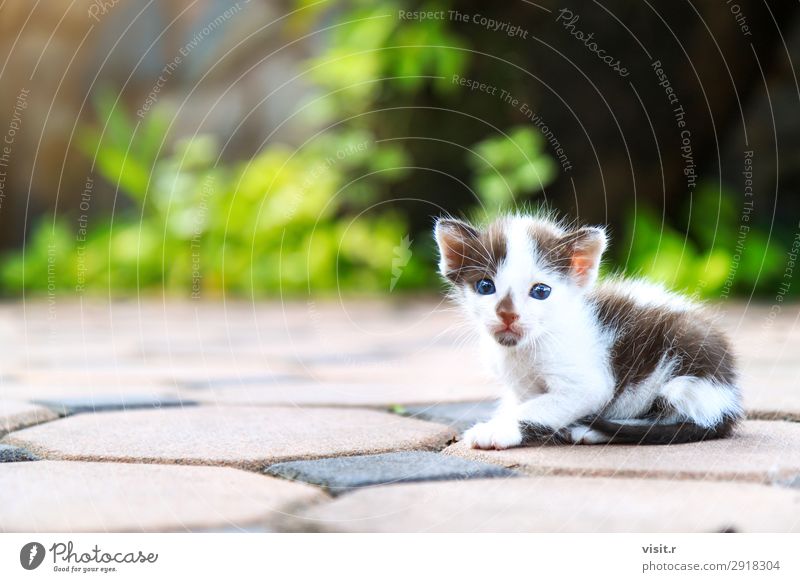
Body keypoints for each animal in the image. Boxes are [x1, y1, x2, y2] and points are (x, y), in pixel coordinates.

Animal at [438, 212, 744, 450]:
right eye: (485, 286)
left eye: (541, 291)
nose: (508, 315)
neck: (525, 348)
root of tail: (729, 399)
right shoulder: (518, 386)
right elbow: (520, 402)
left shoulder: (589, 386)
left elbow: (537, 406)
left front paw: (497, 429)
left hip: (683, 378)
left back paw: (591, 429)